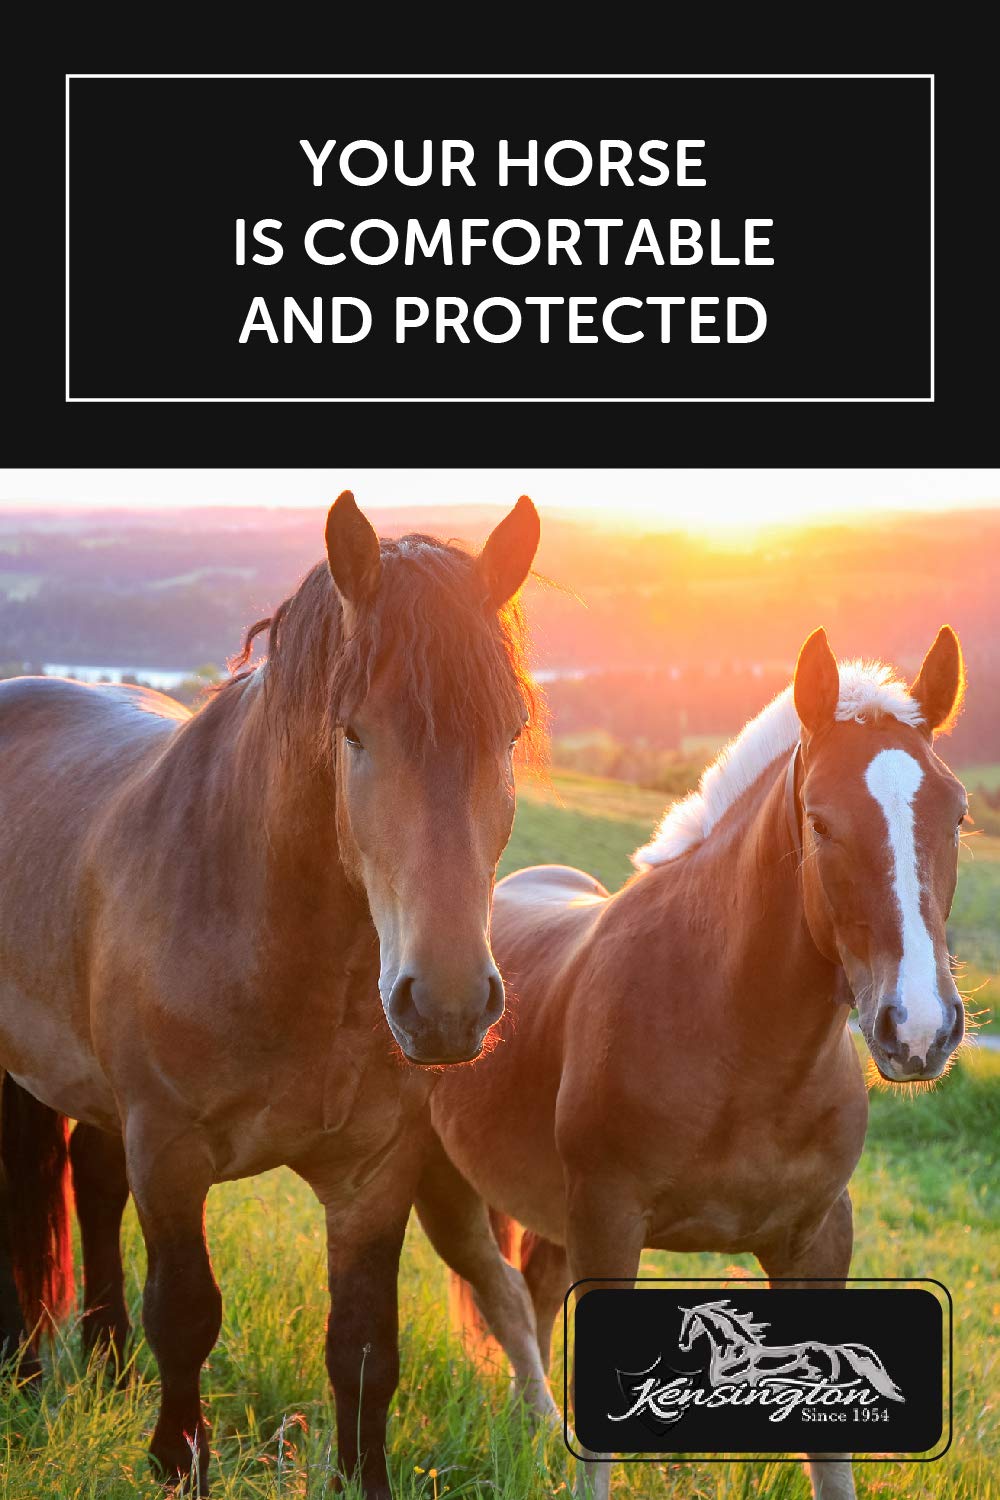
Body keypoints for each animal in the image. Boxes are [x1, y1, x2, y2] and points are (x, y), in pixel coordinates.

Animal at [0, 490, 542, 1499]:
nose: (447, 1007)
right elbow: (186, 1313)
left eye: (512, 733)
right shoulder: (170, 1152)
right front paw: (177, 1464)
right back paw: (22, 1369)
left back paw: (107, 1367)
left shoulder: (375, 1172)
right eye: (354, 732)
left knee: (92, 1184)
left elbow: (364, 1348)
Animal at [415, 625, 969, 1500]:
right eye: (821, 823)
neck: (732, 1042)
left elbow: (832, 1458)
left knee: (530, 1291)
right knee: (501, 1295)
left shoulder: (817, 1238)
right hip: (441, 1185)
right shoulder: (609, 1225)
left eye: (958, 814)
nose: (918, 1029)